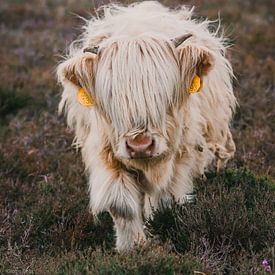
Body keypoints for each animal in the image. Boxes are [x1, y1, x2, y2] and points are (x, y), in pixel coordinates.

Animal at [56, 1, 237, 252]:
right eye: (111, 96)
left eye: (163, 92)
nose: (140, 145)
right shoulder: (105, 152)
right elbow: (121, 204)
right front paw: (132, 247)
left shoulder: (179, 154)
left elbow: (163, 202)